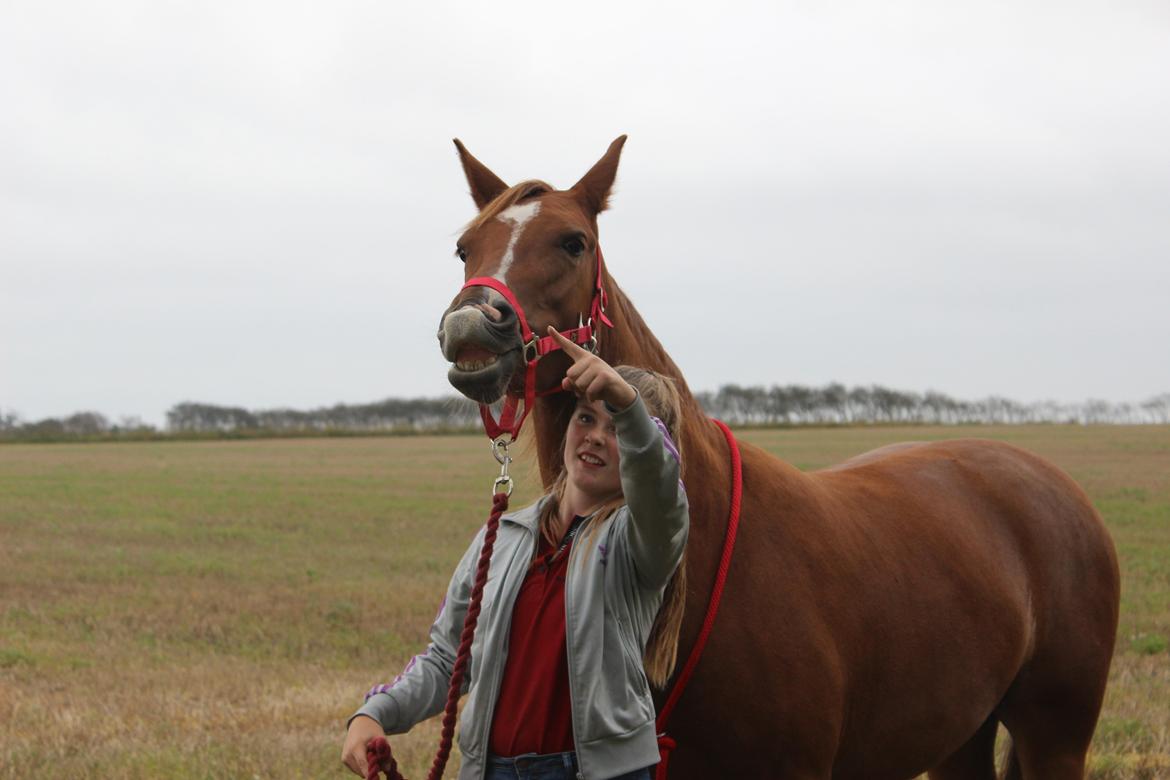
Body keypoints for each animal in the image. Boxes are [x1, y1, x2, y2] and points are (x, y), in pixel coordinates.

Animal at [435, 137, 1118, 776]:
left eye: (573, 242)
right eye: (466, 248)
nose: (472, 328)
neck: (706, 540)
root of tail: (1055, 485)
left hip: (1056, 737)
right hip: (960, 732)